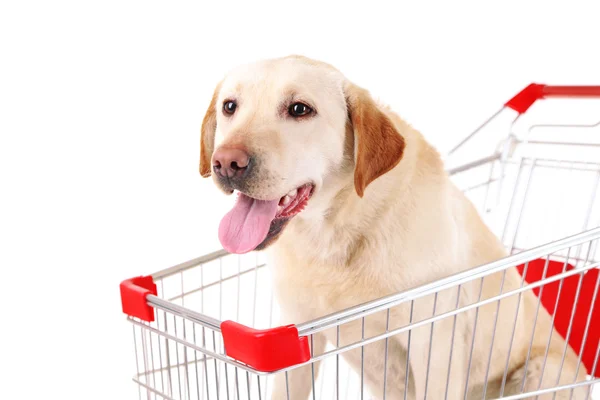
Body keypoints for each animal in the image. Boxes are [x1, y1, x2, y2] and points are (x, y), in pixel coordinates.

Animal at [197, 56, 584, 400]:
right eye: (229, 106)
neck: (333, 236)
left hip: (541, 372)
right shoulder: (297, 344)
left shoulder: (433, 345)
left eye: (299, 109)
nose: (226, 163)